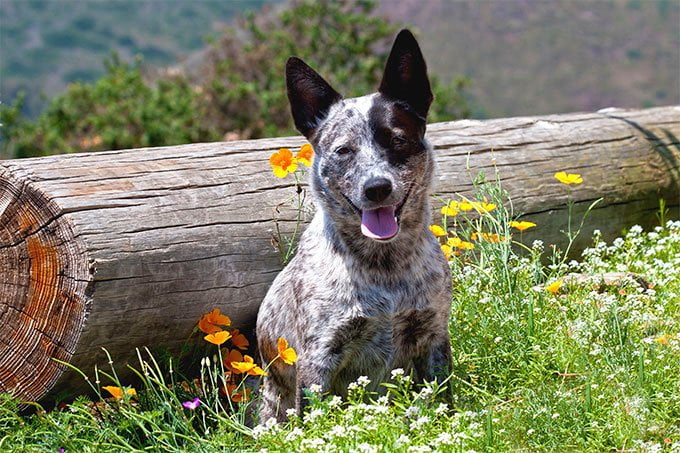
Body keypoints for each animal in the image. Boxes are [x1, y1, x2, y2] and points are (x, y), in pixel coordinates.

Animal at [255, 30, 452, 422]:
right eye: (344, 150)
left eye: (397, 139)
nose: (376, 188)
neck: (386, 268)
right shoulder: (319, 357)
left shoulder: (434, 336)